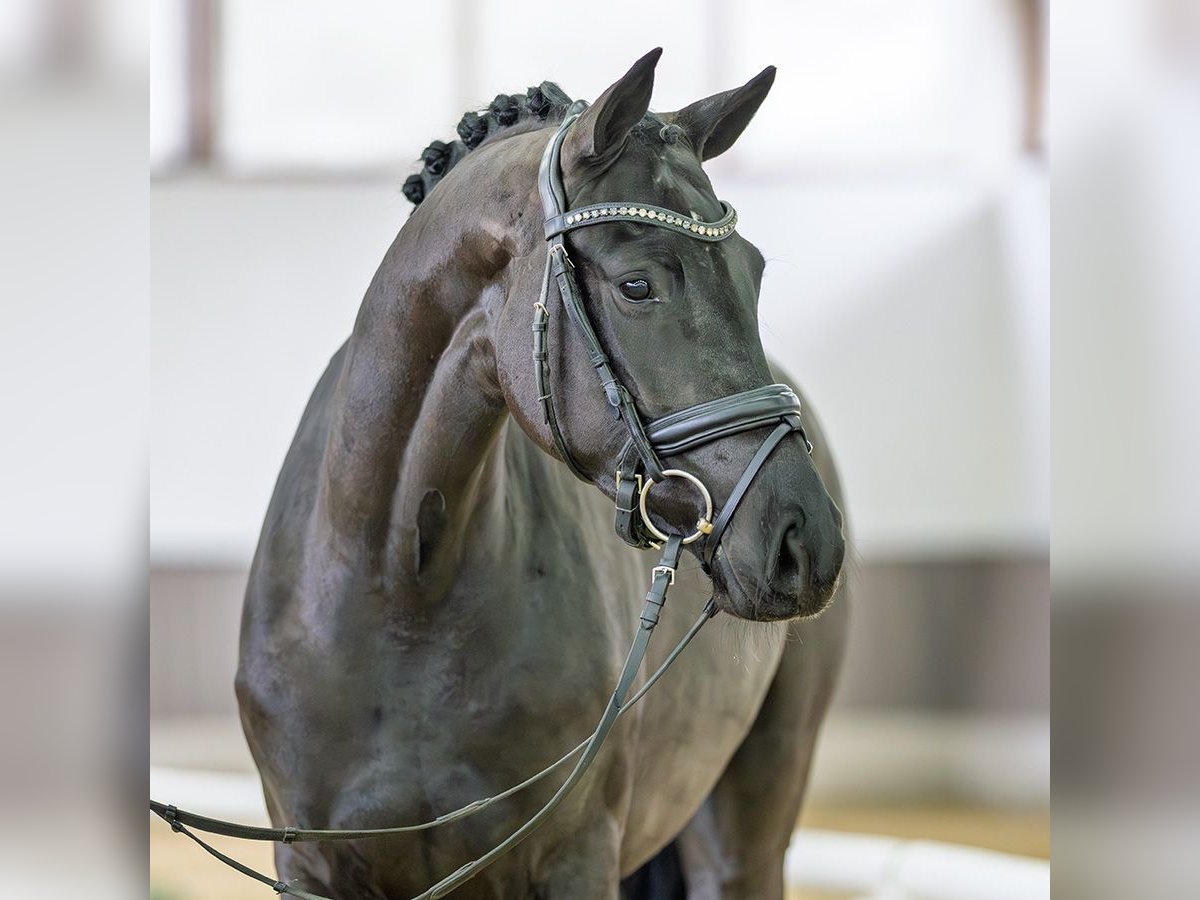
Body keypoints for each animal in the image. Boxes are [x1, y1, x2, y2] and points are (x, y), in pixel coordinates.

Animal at [234, 49, 849, 900]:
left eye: (753, 273)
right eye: (635, 284)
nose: (805, 541)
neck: (401, 588)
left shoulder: (575, 855)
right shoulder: (310, 866)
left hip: (747, 826)